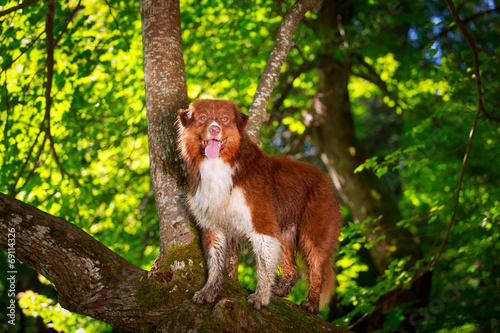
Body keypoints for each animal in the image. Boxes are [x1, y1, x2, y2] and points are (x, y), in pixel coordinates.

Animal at [178, 100, 342, 312]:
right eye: (203, 118)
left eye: (225, 119)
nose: (214, 129)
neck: (220, 165)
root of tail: (327, 180)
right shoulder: (213, 225)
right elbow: (214, 263)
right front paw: (209, 292)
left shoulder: (262, 223)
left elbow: (263, 266)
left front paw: (260, 297)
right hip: (284, 231)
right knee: (292, 270)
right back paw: (279, 290)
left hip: (314, 233)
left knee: (316, 269)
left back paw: (311, 303)